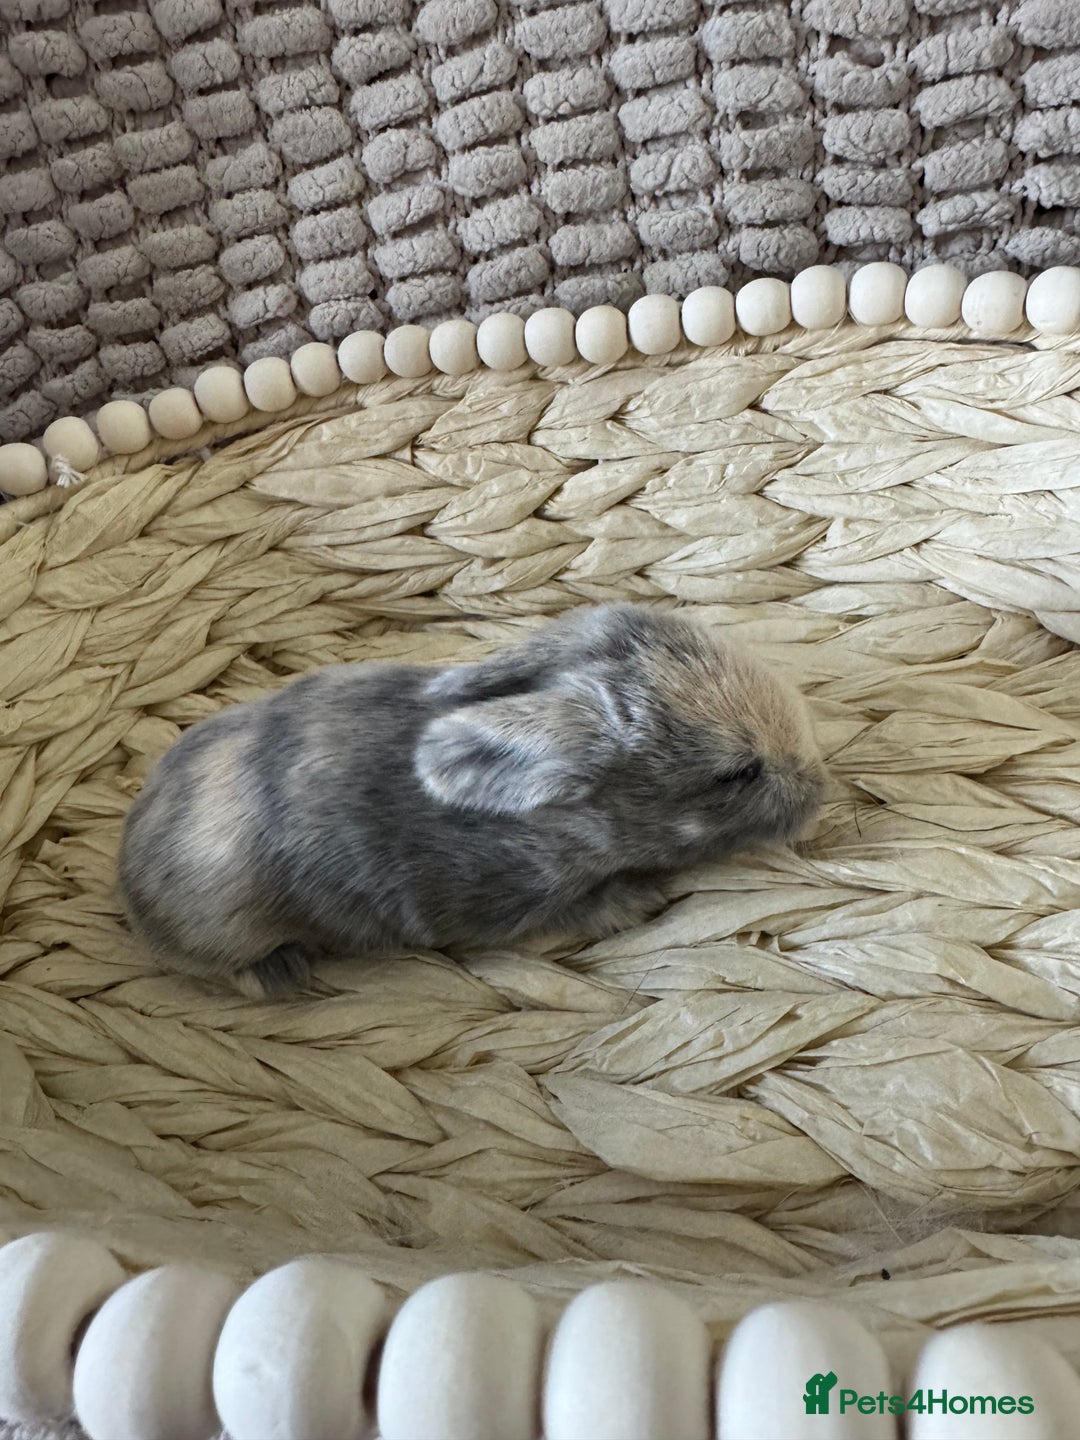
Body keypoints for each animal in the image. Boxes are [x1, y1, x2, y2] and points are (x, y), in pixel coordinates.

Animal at [116, 603, 827, 998]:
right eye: (736, 774)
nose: (820, 788)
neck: (556, 822)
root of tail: (126, 877)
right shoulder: (513, 903)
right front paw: (640, 900)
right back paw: (282, 977)